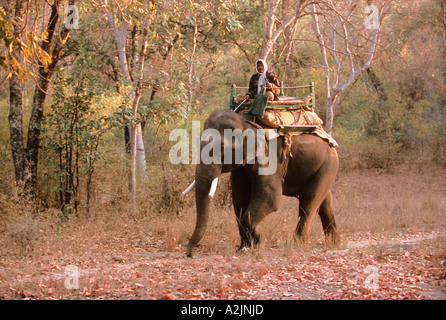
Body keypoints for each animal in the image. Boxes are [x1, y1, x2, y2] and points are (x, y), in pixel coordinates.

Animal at [183, 110, 340, 258]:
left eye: (221, 147)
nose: (190, 254)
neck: (245, 122)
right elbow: (239, 198)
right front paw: (244, 248)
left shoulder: (267, 155)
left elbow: (271, 197)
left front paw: (259, 241)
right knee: (325, 202)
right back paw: (333, 243)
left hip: (328, 164)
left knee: (308, 203)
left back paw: (297, 244)